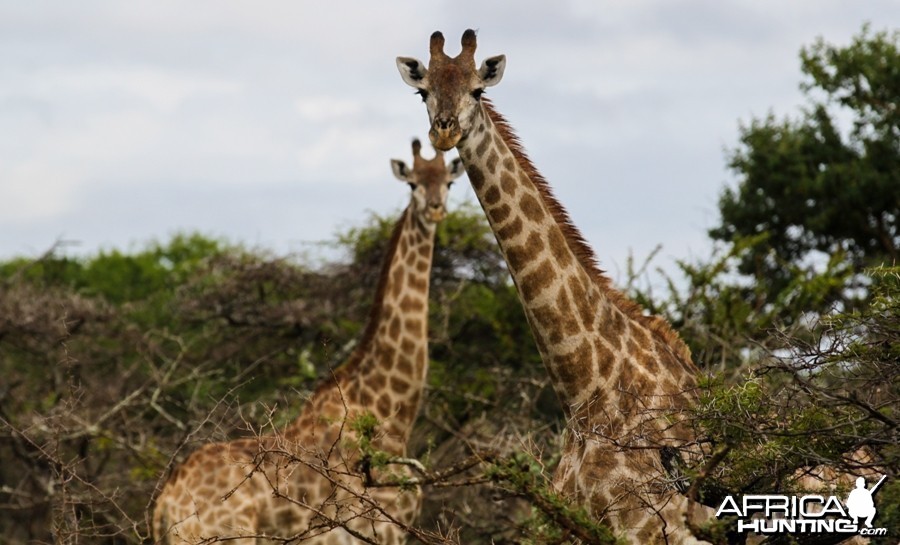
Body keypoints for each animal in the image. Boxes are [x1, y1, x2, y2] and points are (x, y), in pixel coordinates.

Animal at [152, 141, 464, 544]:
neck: (392, 418)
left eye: (449, 182)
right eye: (412, 183)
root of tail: (166, 503)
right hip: (223, 537)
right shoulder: (374, 528)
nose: (436, 208)